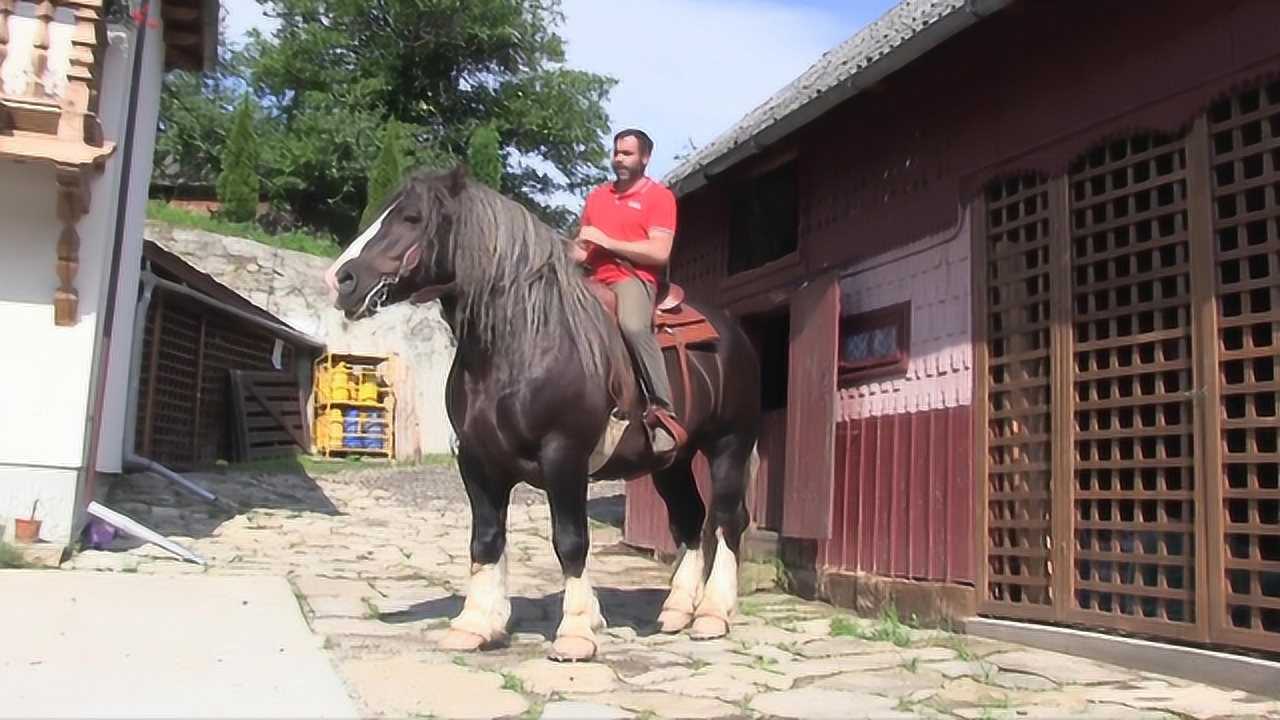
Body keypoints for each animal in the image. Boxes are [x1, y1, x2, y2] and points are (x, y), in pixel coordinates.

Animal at [325, 166, 761, 661]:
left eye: (412, 218)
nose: (340, 280)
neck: (523, 342)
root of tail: (733, 332)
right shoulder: (478, 461)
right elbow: (486, 539)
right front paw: (475, 624)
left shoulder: (563, 456)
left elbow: (570, 541)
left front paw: (576, 631)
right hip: (672, 461)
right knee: (688, 518)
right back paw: (676, 611)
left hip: (729, 445)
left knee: (725, 519)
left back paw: (712, 614)